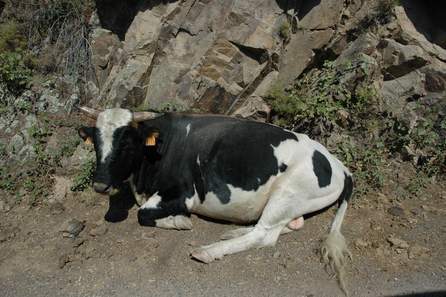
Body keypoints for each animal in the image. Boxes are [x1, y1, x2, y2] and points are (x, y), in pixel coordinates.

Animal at [78, 107, 354, 288]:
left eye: (126, 144)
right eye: (96, 144)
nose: (100, 184)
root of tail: (339, 164)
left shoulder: (183, 193)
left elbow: (142, 213)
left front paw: (180, 221)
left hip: (287, 193)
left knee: (264, 235)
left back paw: (208, 251)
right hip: (293, 203)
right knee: (286, 226)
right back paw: (233, 232)